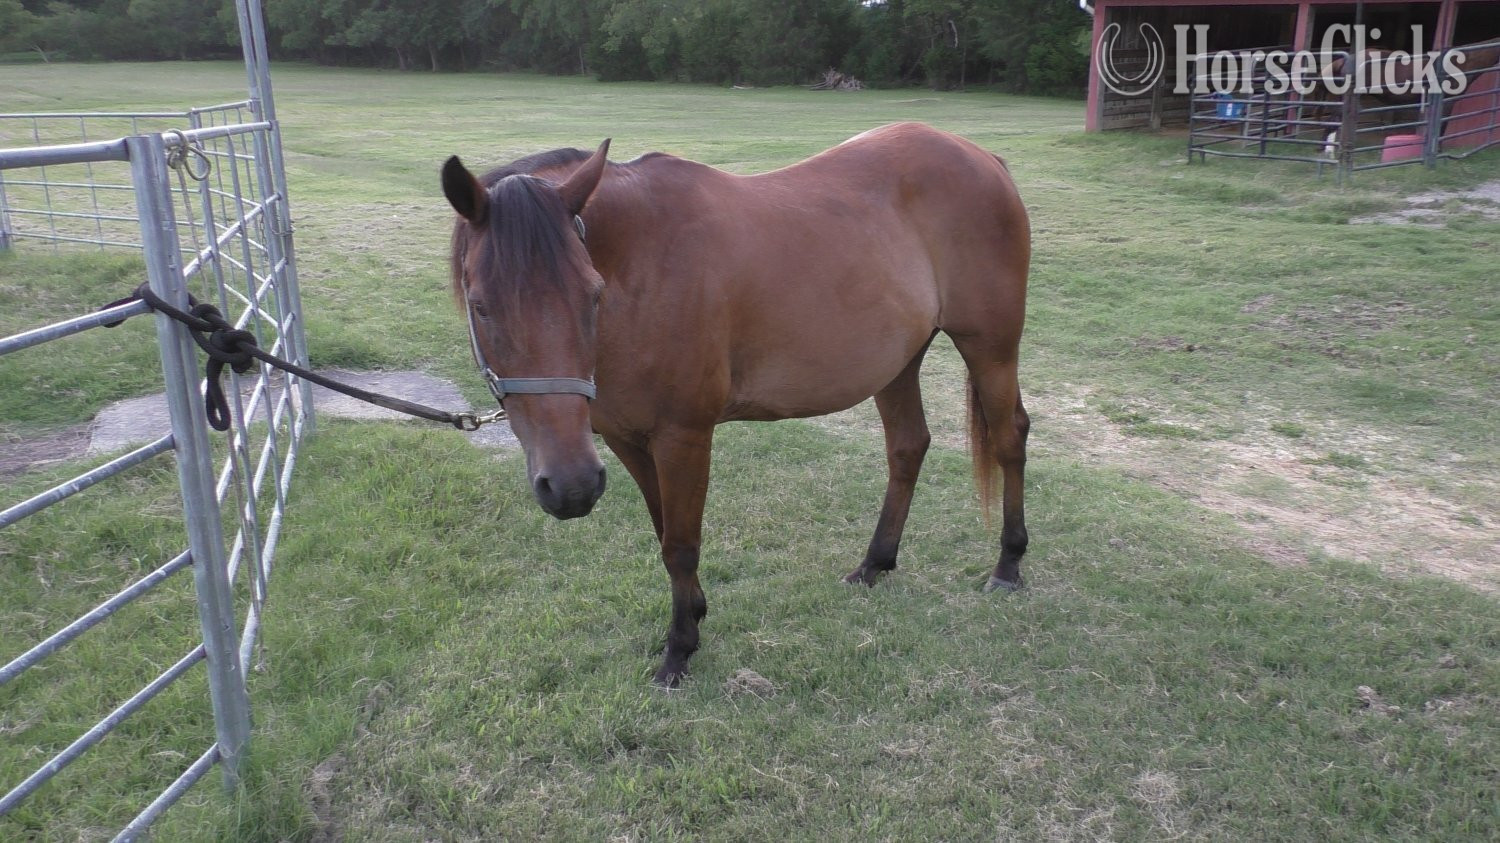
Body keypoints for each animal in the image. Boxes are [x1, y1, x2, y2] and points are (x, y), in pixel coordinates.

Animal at [441, 122, 1032, 687]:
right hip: (897, 362)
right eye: (482, 306)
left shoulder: (683, 437)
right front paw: (693, 620)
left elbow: (680, 544)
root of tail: (983, 158)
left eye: (593, 293)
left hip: (991, 348)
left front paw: (679, 650)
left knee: (1010, 440)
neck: (643, 266)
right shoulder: (626, 439)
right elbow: (663, 532)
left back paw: (1007, 566)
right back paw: (873, 565)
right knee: (908, 447)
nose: (571, 487)